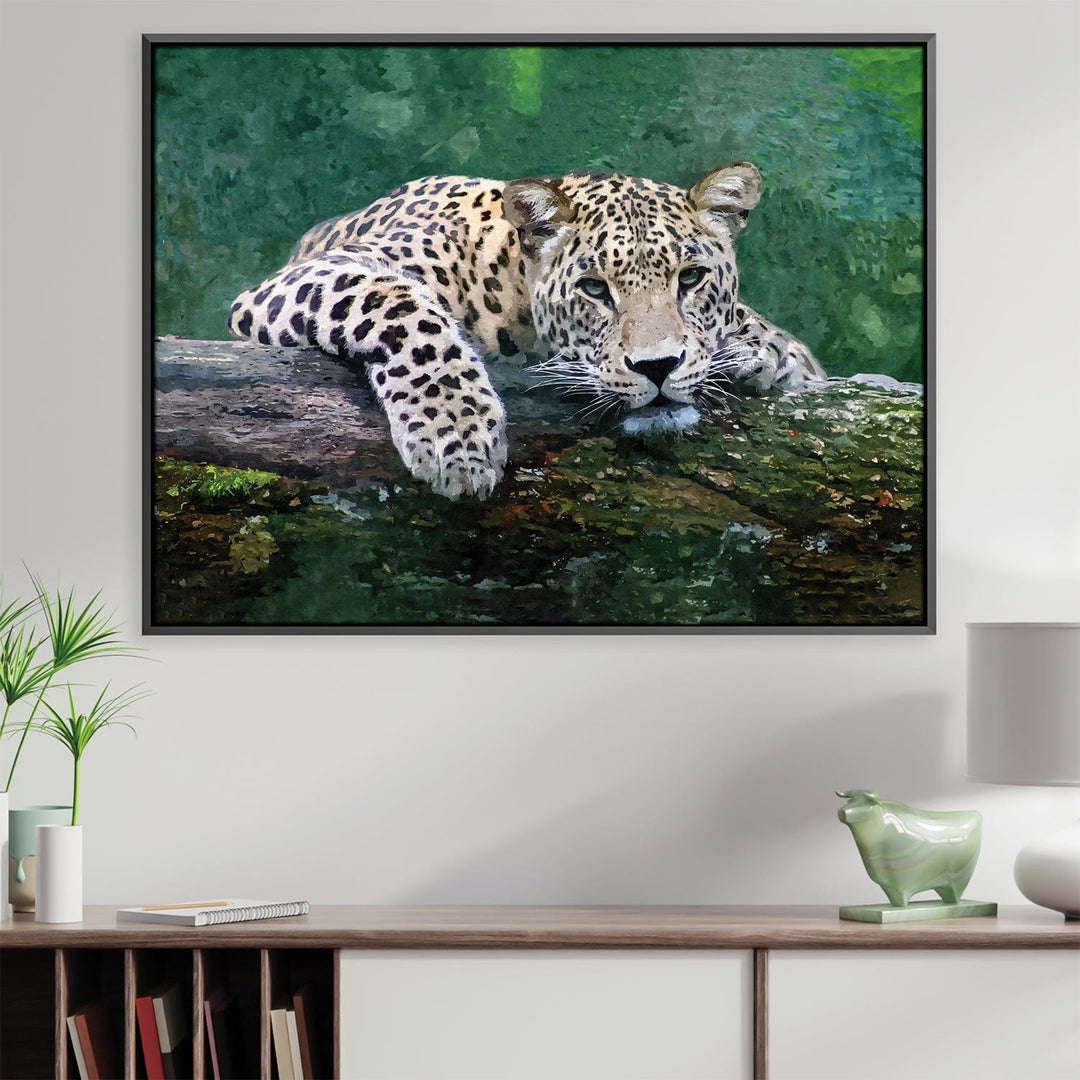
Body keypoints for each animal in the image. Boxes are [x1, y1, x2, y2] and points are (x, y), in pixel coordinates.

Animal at [228, 162, 825, 500]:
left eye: (692, 278)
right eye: (594, 289)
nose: (657, 367)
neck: (509, 285)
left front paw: (766, 352)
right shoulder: (311, 276)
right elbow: (404, 309)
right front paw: (458, 438)